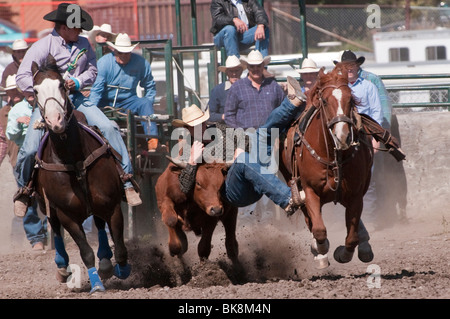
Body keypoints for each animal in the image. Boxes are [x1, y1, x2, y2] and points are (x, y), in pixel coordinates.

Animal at [31, 54, 130, 292]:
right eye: (35, 91)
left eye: (61, 84)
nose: (55, 121)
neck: (73, 159)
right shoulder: (67, 216)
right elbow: (85, 252)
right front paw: (96, 285)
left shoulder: (112, 205)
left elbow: (121, 248)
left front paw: (118, 269)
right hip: (46, 205)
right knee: (56, 230)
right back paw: (62, 267)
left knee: (100, 226)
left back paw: (106, 261)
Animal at [284, 65, 374, 270]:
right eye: (325, 101)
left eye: (351, 99)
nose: (343, 136)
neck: (332, 155)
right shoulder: (309, 191)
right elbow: (319, 230)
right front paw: (319, 250)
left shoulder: (355, 194)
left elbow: (352, 237)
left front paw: (342, 253)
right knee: (309, 220)